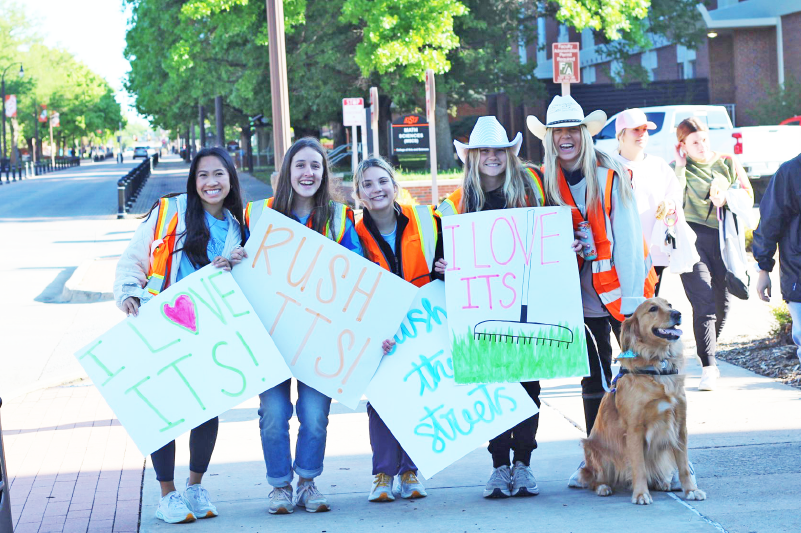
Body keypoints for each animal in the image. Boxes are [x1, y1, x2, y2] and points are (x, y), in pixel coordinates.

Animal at [576, 298, 708, 504]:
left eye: (669, 305)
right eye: (652, 308)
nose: (677, 313)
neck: (658, 365)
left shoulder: (679, 425)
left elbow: (684, 465)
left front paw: (691, 490)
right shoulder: (634, 429)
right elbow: (639, 466)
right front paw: (640, 493)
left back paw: (662, 483)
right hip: (596, 450)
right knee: (593, 478)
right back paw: (603, 487)